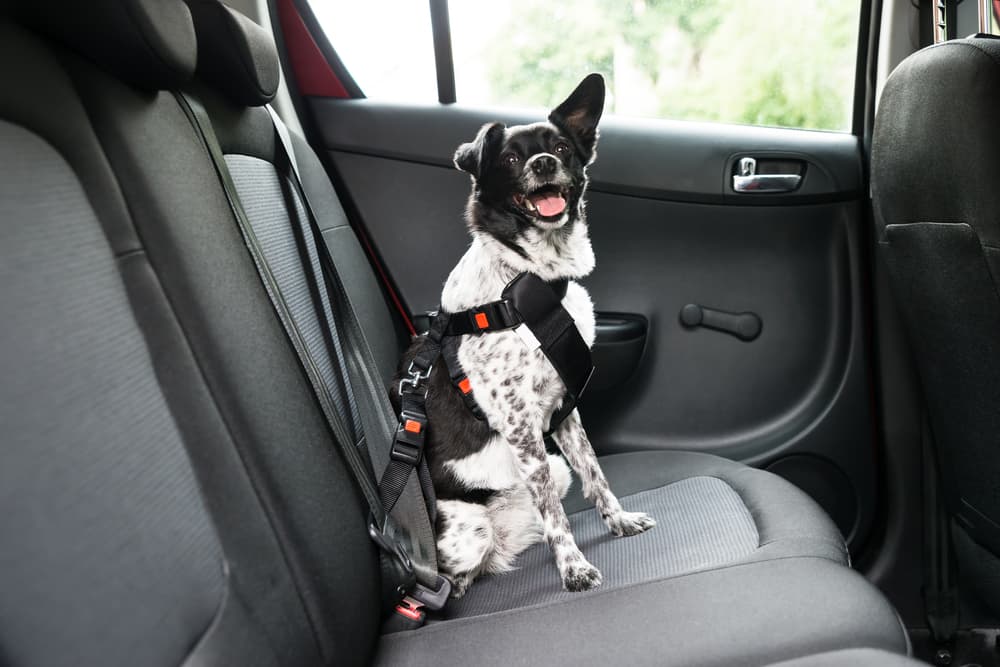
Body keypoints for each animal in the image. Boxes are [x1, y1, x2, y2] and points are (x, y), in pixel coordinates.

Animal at [390, 74, 656, 600]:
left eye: (561, 147)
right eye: (511, 159)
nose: (544, 163)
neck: (529, 277)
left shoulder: (564, 410)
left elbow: (596, 474)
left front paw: (618, 522)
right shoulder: (520, 425)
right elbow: (556, 517)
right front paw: (573, 569)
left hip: (549, 472)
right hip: (472, 530)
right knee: (462, 572)